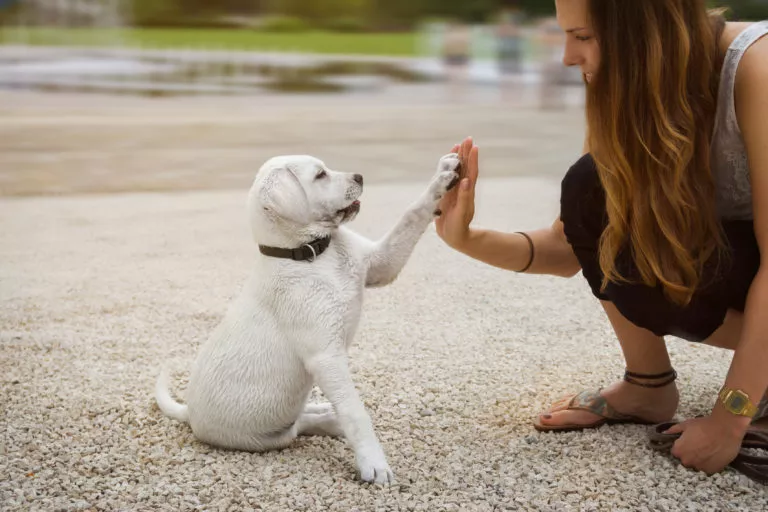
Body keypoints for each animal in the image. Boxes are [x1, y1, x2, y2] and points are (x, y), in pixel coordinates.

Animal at [153, 151, 460, 484]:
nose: (360, 176)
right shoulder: (326, 356)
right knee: (300, 425)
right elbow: (354, 411)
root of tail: (189, 413)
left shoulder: (382, 264)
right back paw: (331, 420)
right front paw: (373, 463)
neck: (313, 253)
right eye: (320, 175)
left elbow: (411, 215)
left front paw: (443, 176)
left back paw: (326, 412)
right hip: (269, 436)